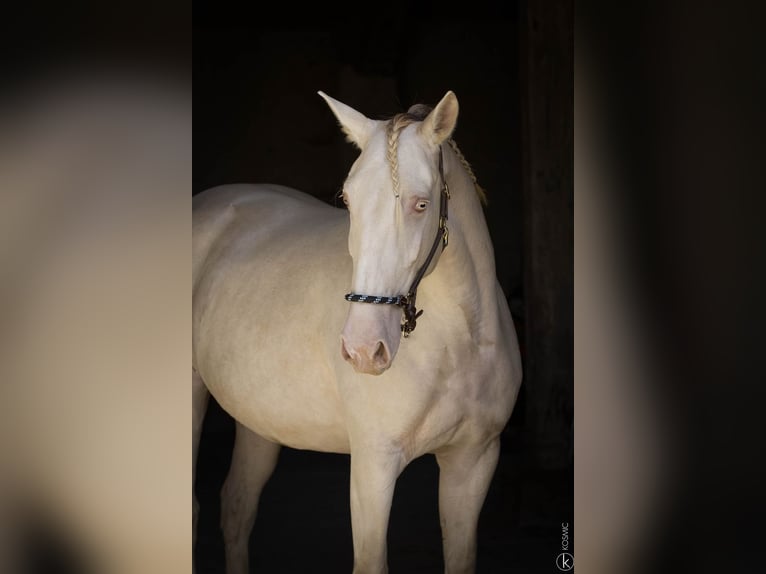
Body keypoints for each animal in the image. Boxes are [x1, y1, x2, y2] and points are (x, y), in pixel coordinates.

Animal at [195, 92, 524, 572]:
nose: (364, 350)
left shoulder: (473, 462)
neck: (460, 343)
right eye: (348, 202)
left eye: (421, 204)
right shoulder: (374, 464)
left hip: (259, 421)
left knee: (236, 507)